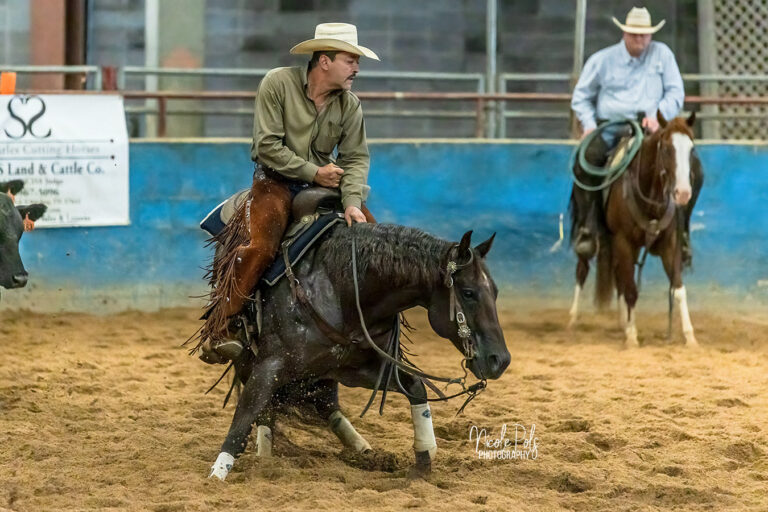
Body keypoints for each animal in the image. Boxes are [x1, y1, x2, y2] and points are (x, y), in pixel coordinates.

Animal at [200, 219, 510, 480]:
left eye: (495, 292)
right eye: (468, 293)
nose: (501, 360)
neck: (340, 291)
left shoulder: (353, 368)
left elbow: (415, 386)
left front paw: (423, 461)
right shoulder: (269, 365)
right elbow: (245, 417)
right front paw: (217, 475)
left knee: (327, 407)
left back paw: (363, 449)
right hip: (250, 361)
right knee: (271, 409)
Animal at [568, 113, 704, 348]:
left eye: (691, 149)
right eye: (666, 148)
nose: (683, 193)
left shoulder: (670, 245)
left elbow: (678, 289)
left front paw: (690, 337)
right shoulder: (623, 241)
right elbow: (631, 289)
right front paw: (632, 336)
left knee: (619, 277)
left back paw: (623, 320)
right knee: (583, 268)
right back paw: (574, 318)